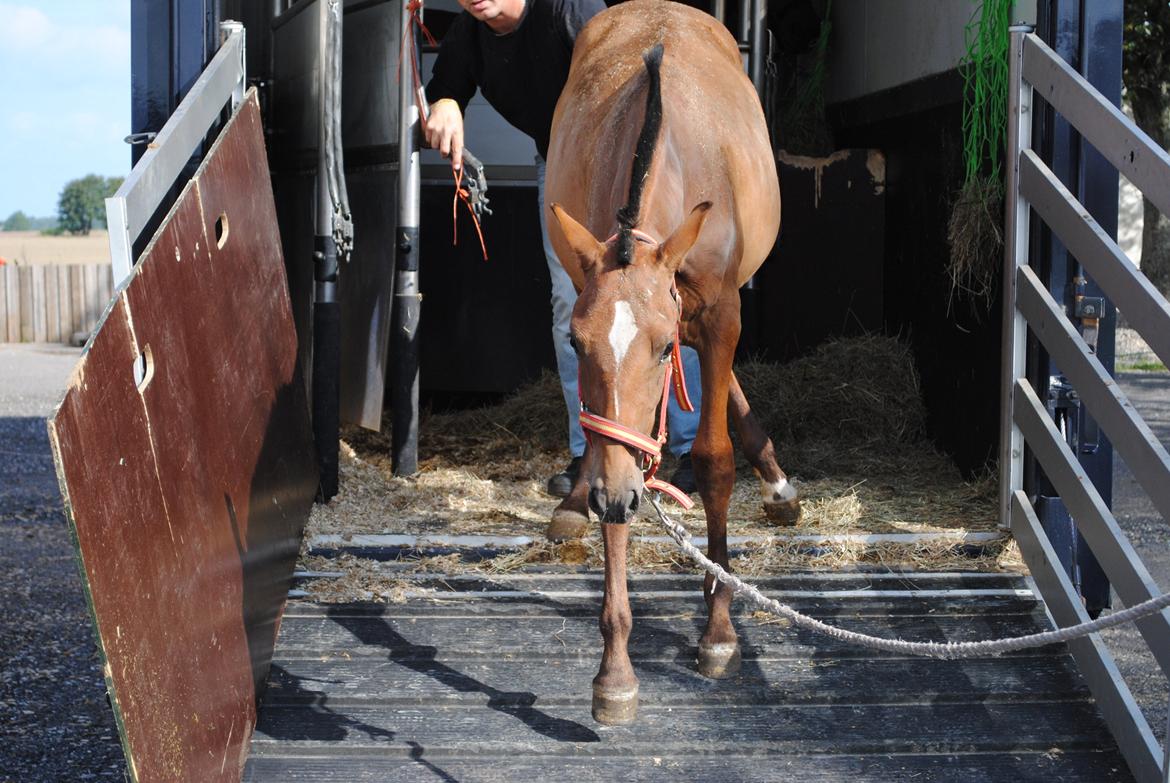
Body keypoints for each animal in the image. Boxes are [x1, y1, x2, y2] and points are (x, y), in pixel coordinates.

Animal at [542, 0, 800, 725]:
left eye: (658, 348)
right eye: (576, 343)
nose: (609, 492)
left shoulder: (719, 315)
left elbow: (713, 462)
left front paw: (718, 629)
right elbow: (617, 469)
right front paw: (615, 671)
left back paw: (776, 484)